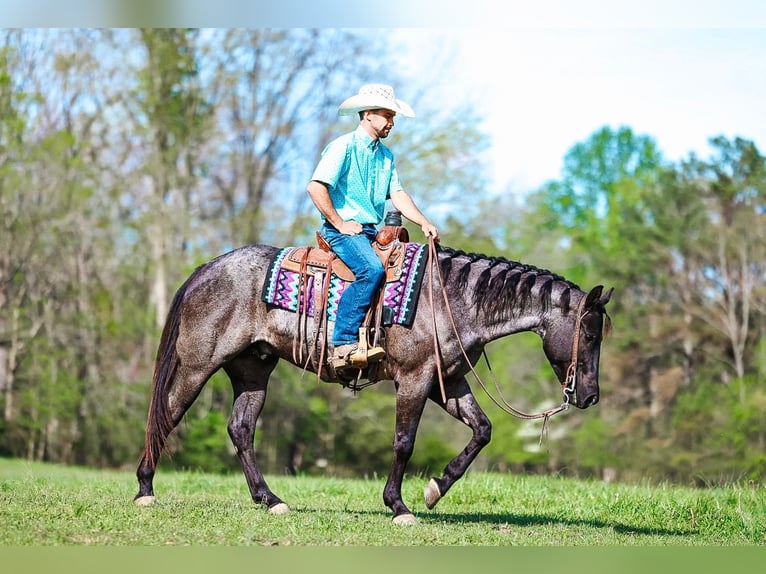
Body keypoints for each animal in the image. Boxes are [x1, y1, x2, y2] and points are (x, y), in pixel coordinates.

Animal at [133, 240, 613, 525]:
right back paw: (144, 490)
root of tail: (207, 268)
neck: (451, 300)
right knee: (167, 415)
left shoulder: (448, 382)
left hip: (253, 369)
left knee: (241, 429)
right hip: (197, 366)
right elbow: (404, 442)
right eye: (590, 334)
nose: (589, 396)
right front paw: (398, 506)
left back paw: (270, 499)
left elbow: (482, 431)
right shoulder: (416, 379)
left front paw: (435, 490)